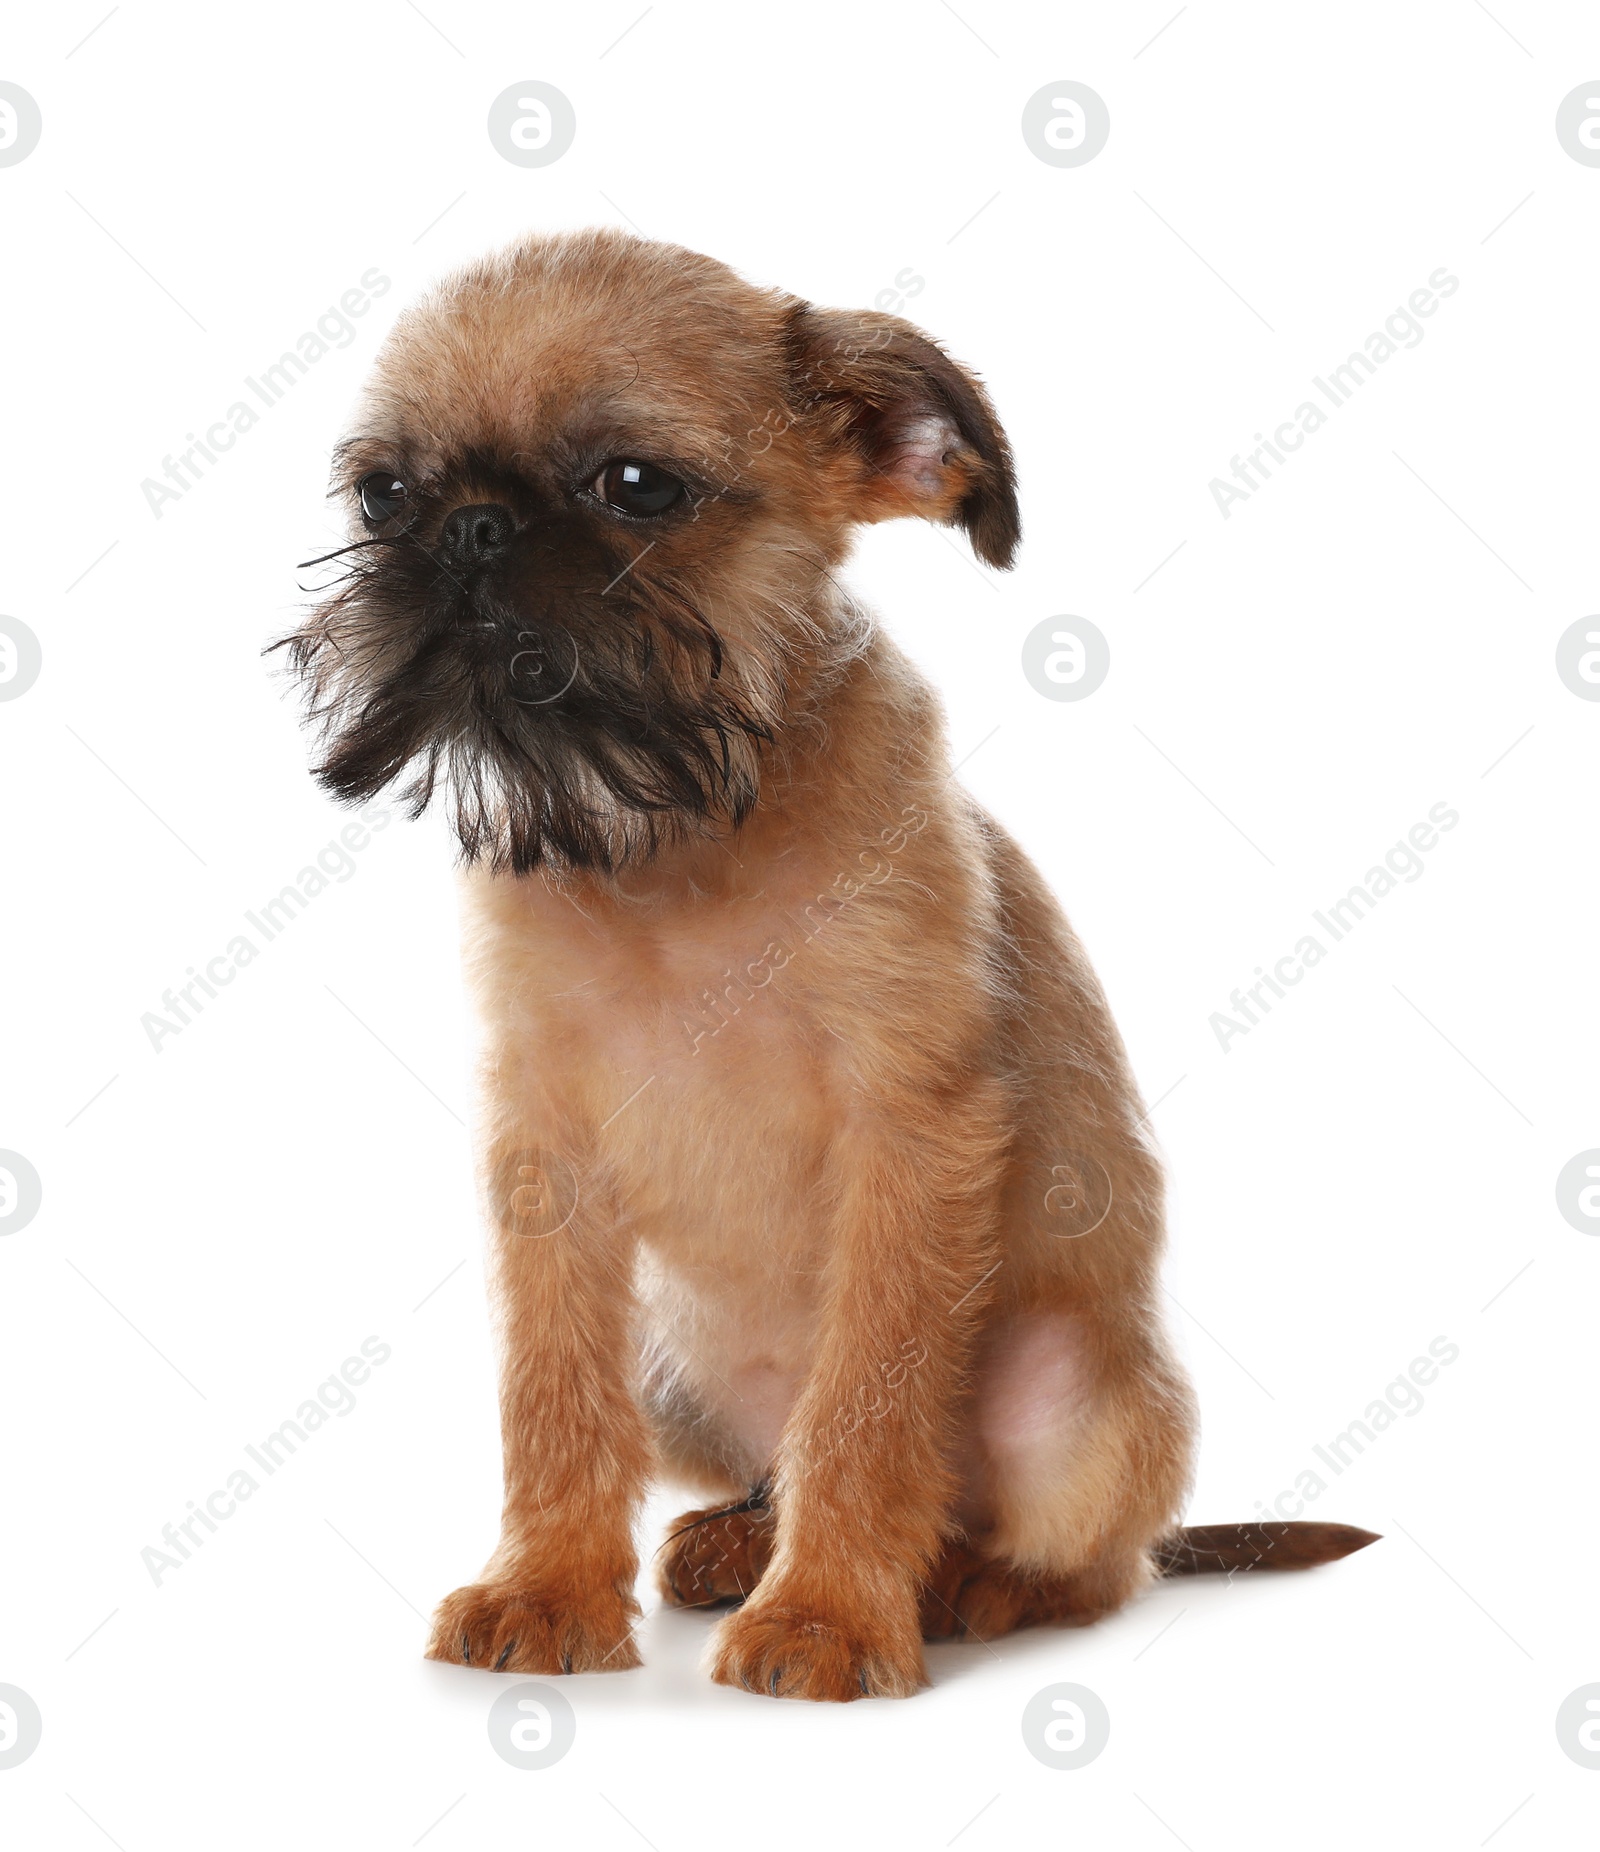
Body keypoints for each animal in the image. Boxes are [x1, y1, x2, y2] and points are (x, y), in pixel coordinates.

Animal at [277, 224, 1377, 1696]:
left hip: (1073, 1399)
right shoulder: (545, 1154)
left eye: (638, 485)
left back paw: (965, 1582)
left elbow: (867, 1397)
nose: (468, 526)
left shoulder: (910, 1133)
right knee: (761, 1461)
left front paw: (829, 1619)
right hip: (674, 1363)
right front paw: (547, 1586)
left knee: (1090, 1561)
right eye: (386, 496)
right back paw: (740, 1539)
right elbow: (550, 1390)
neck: (683, 846)